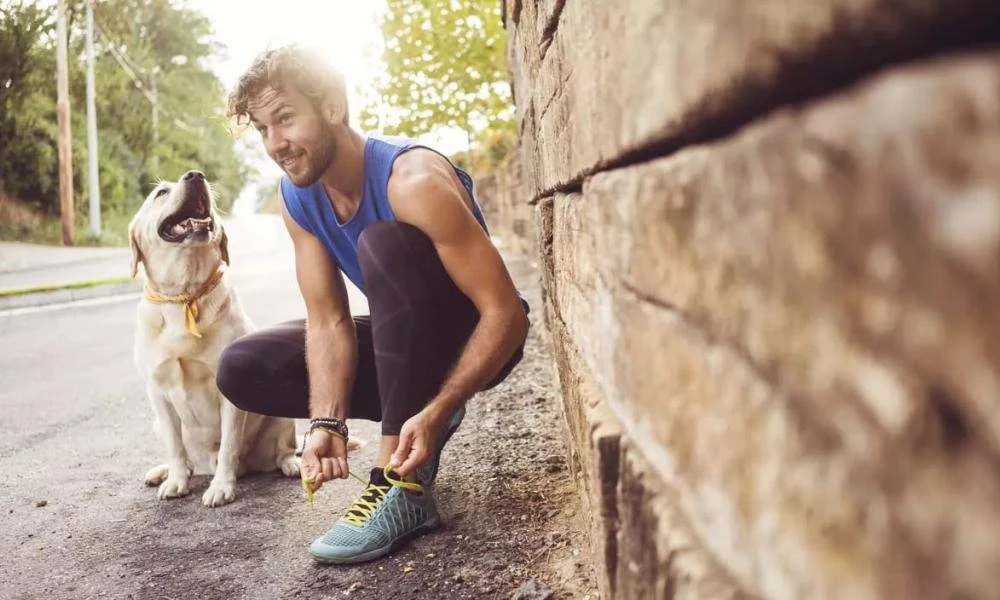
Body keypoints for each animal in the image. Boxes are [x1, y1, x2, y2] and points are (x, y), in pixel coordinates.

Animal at [126, 169, 296, 506]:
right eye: (161, 193)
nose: (195, 175)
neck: (184, 294)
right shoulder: (157, 392)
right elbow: (175, 446)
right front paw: (176, 480)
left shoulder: (227, 393)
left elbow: (229, 444)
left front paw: (221, 487)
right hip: (157, 423)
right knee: (184, 455)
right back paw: (163, 471)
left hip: (280, 416)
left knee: (283, 451)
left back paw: (292, 464)